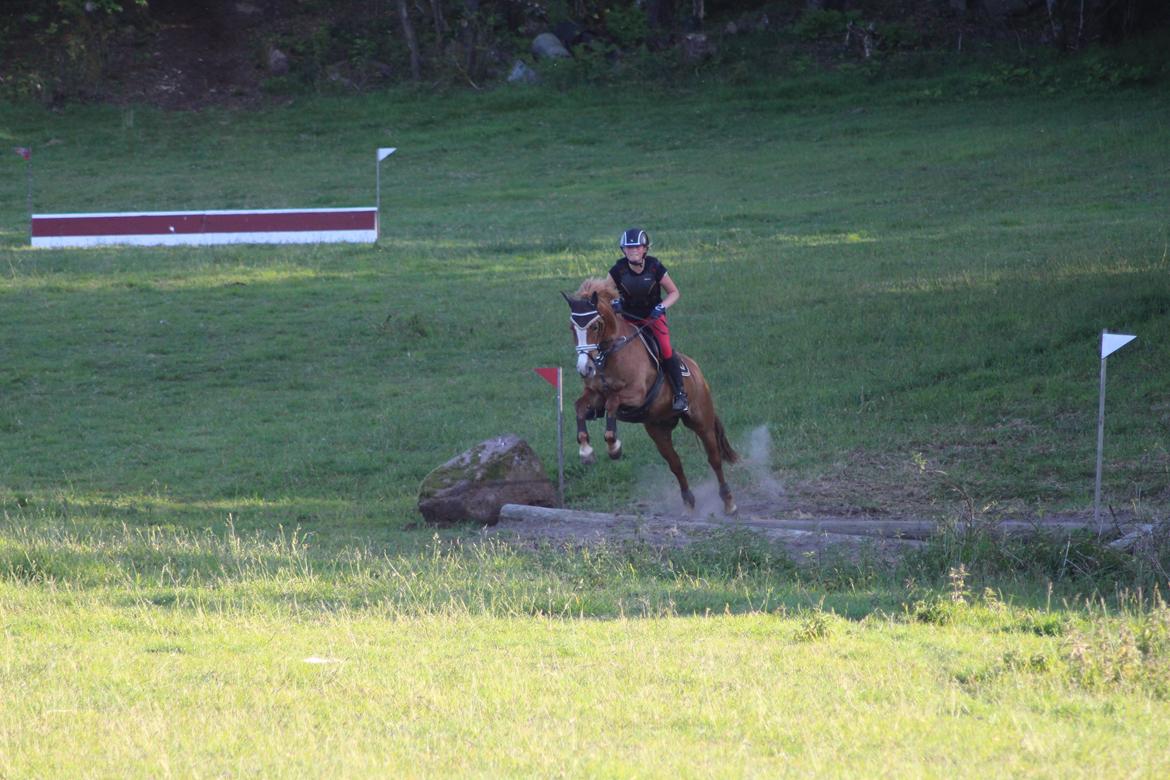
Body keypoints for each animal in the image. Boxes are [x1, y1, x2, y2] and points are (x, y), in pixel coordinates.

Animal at [562, 277, 739, 515]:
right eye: (572, 327)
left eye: (595, 326)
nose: (584, 369)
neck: (610, 354)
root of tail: (697, 371)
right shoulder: (595, 395)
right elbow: (580, 407)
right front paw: (586, 451)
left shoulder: (636, 394)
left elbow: (612, 403)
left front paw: (614, 447)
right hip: (658, 429)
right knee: (675, 463)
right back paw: (688, 504)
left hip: (701, 422)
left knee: (714, 459)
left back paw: (729, 502)